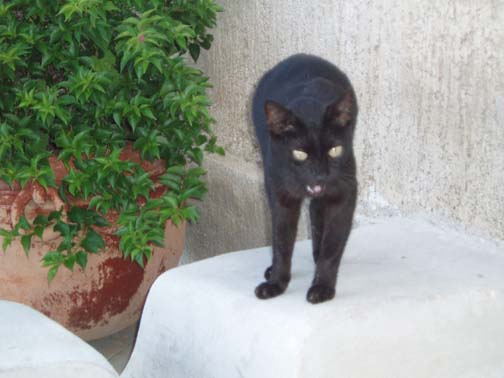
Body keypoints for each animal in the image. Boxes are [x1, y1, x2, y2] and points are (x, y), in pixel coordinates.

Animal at [252, 54, 358, 304]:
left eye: (335, 150)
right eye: (300, 154)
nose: (320, 174)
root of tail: (302, 56)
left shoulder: (344, 193)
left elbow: (332, 245)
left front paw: (322, 287)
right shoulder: (280, 195)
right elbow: (281, 242)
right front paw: (276, 283)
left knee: (317, 215)